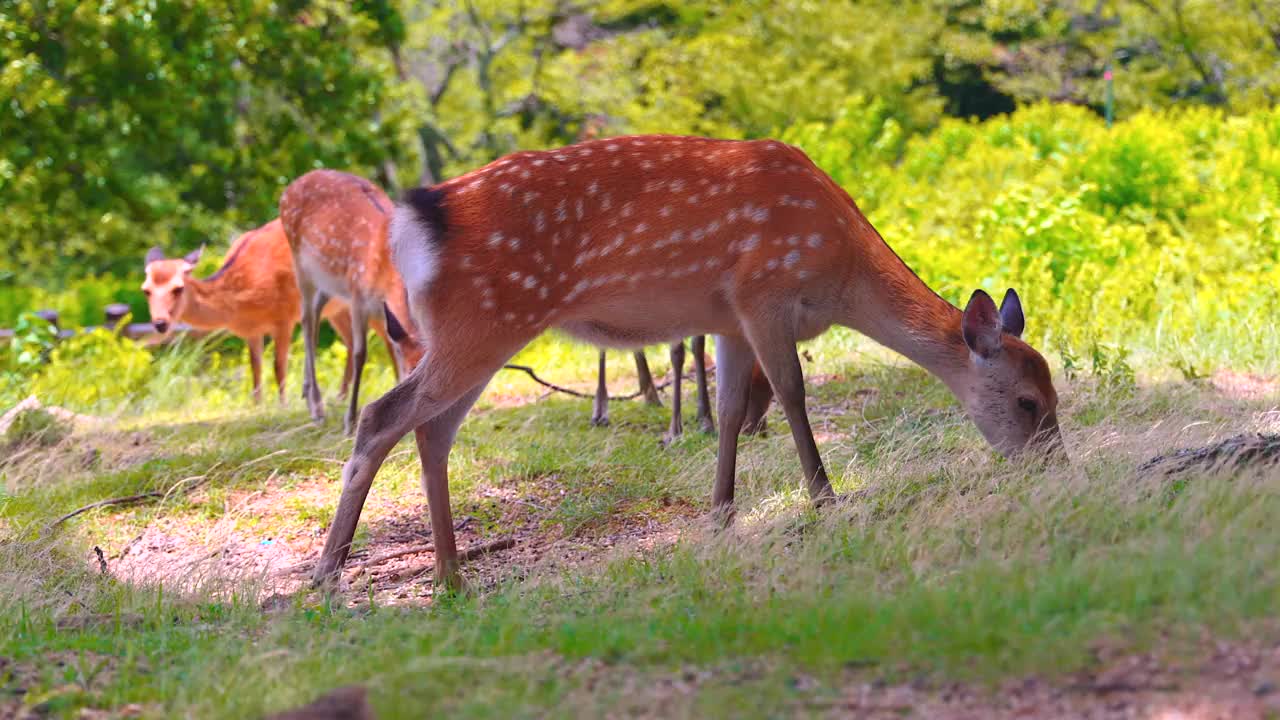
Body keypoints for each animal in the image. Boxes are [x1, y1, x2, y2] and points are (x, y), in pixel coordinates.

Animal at [142, 215, 384, 399]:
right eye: (146, 290)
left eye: (178, 288)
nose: (160, 323)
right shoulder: (251, 331)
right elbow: (255, 368)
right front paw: (257, 404)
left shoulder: (285, 316)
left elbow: (279, 367)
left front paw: (283, 404)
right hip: (337, 309)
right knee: (353, 344)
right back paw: (341, 397)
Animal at [279, 170, 427, 435]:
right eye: (411, 372)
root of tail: (290, 187)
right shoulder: (358, 296)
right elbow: (360, 354)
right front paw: (350, 421)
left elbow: (392, 348)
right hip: (300, 263)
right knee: (306, 318)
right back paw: (317, 408)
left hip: (330, 281)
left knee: (316, 312)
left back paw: (307, 392)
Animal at [307, 134, 1059, 589]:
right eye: (1028, 401)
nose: (1053, 467)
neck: (839, 271)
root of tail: (411, 223)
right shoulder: (763, 290)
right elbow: (791, 393)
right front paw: (825, 499)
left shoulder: (727, 317)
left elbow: (728, 410)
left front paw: (721, 515)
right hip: (484, 323)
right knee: (383, 416)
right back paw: (329, 574)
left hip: (472, 331)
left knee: (431, 429)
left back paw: (451, 573)